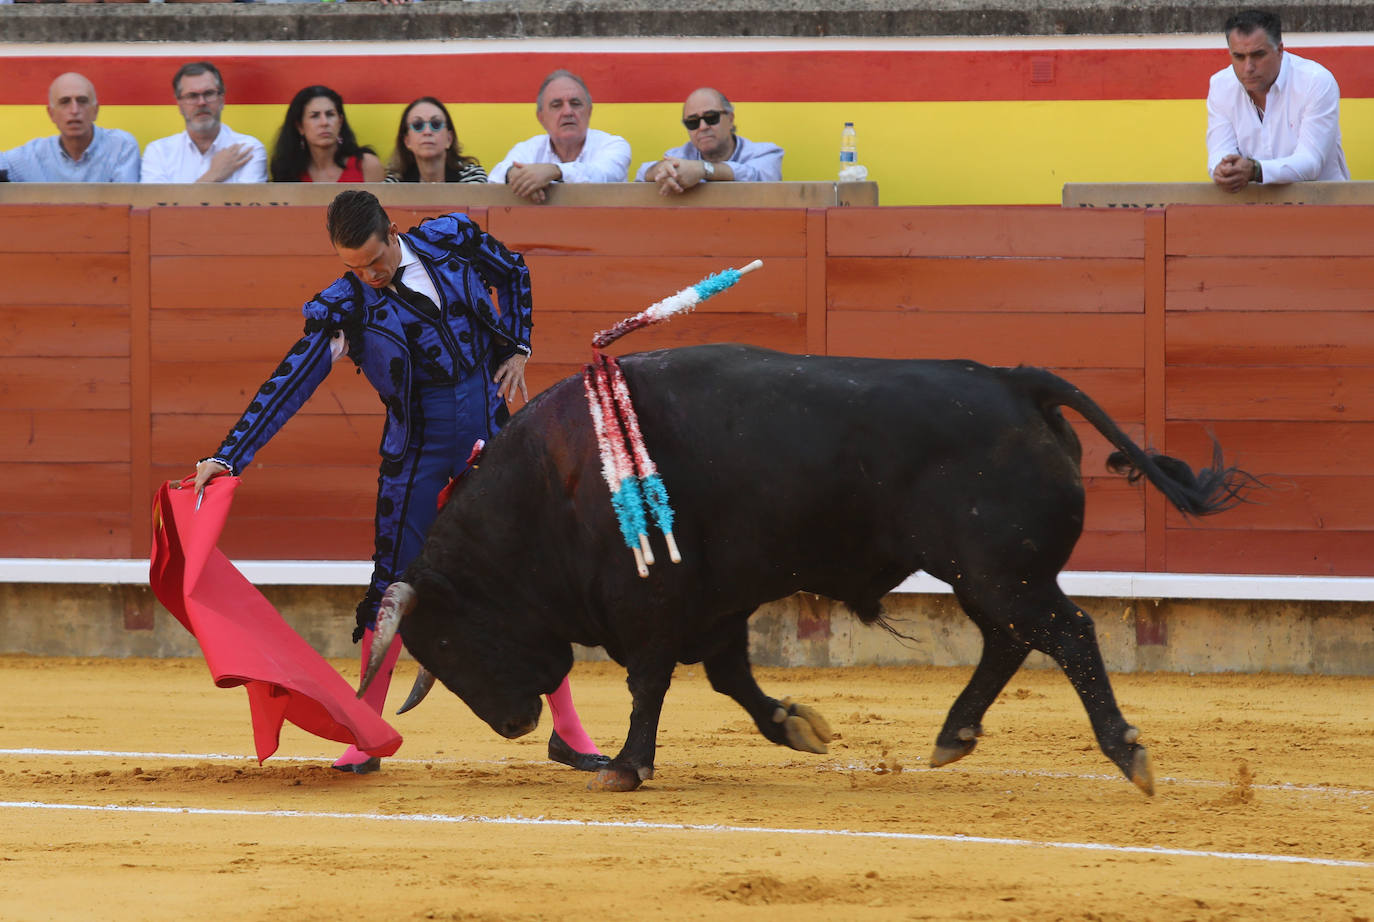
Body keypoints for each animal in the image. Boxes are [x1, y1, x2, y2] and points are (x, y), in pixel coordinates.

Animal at [357, 344, 1258, 791]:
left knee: (1064, 630)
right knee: (1012, 640)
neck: (554, 485)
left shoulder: (653, 604)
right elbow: (731, 679)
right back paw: (952, 736)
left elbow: (650, 682)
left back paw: (1125, 752)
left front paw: (623, 768)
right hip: (986, 576)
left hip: (998, 573)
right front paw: (797, 724)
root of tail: (1013, 382)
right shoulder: (714, 603)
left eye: (446, 643)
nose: (514, 724)